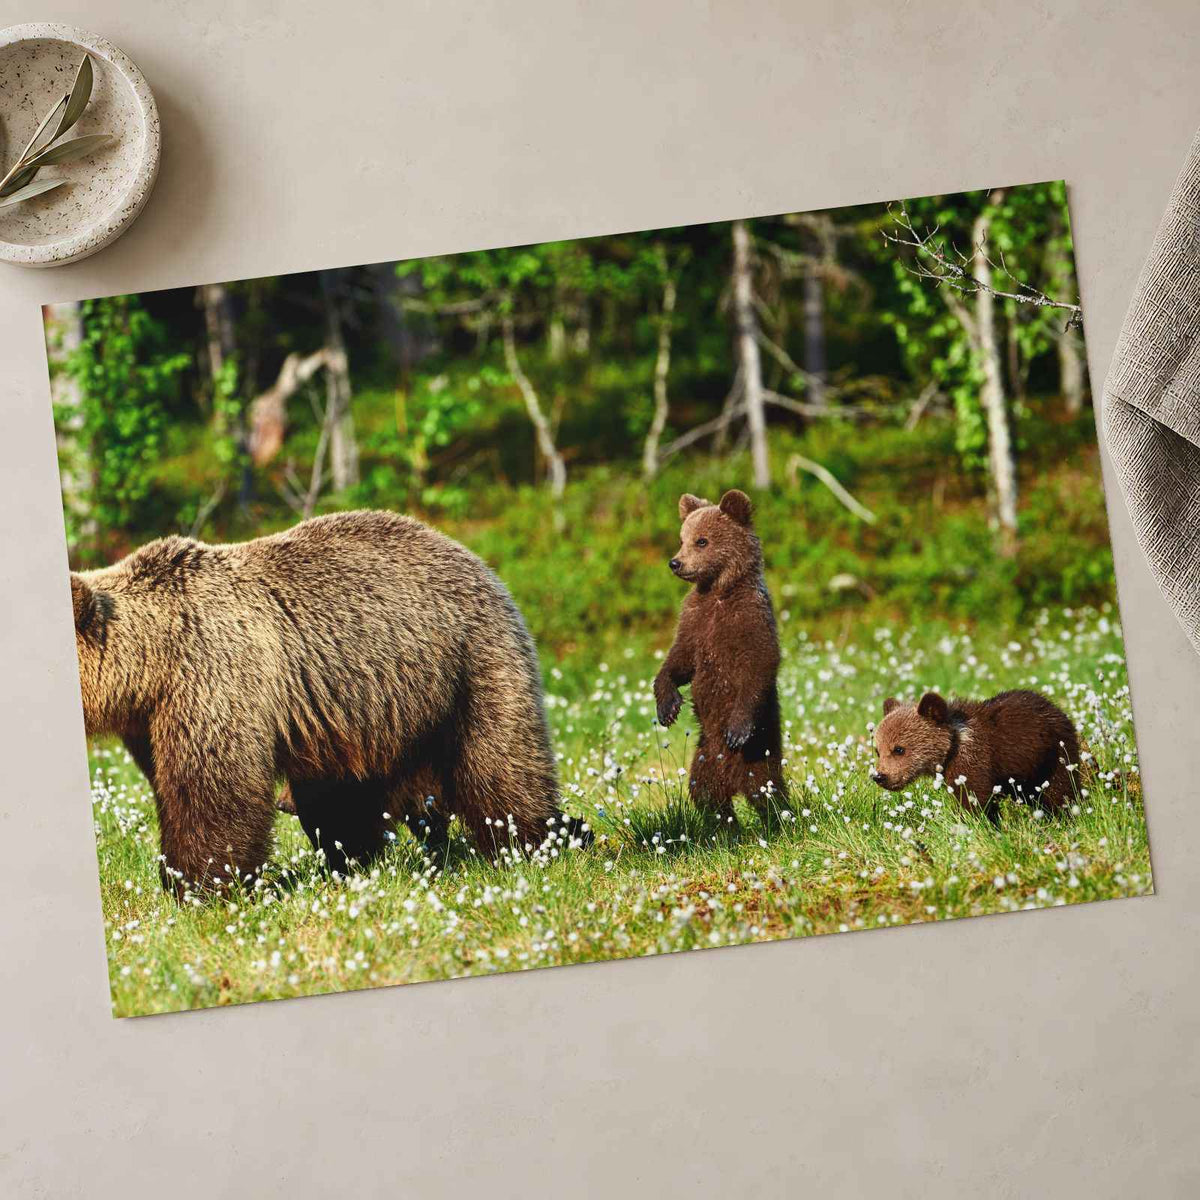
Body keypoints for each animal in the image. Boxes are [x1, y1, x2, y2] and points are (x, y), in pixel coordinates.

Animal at [69, 509, 587, 895]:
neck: (151, 663)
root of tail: (472, 556)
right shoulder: (151, 720)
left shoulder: (215, 674)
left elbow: (214, 789)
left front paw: (203, 886)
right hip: (372, 709)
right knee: (346, 797)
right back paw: (355, 861)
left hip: (468, 662)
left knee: (500, 765)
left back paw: (546, 839)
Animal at [653, 490, 786, 823]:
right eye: (682, 538)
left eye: (702, 541)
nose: (675, 562)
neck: (719, 590)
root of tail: (733, 781)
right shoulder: (695, 622)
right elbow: (679, 660)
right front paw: (668, 707)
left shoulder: (749, 620)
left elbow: (759, 665)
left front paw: (737, 729)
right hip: (704, 757)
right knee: (706, 795)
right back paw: (726, 826)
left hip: (759, 753)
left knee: (768, 792)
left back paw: (779, 822)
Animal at [871, 689, 1081, 814]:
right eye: (878, 750)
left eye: (899, 749)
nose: (879, 776)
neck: (953, 747)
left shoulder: (973, 763)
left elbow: (974, 799)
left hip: (1055, 755)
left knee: (1061, 789)